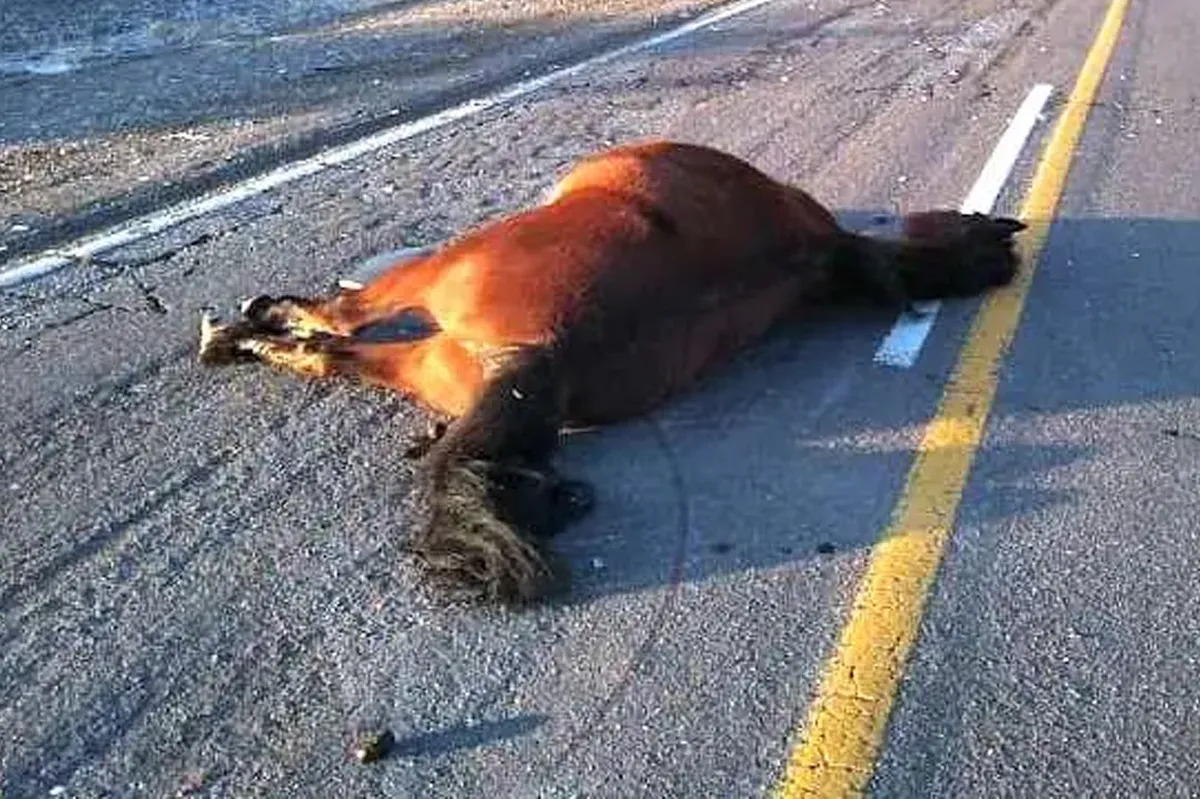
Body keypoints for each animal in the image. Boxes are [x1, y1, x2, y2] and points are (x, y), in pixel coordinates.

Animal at [198, 140, 1025, 605]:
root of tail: (551, 350)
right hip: (433, 359)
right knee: (340, 353)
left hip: (437, 275)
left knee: (340, 324)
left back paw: (244, 331)